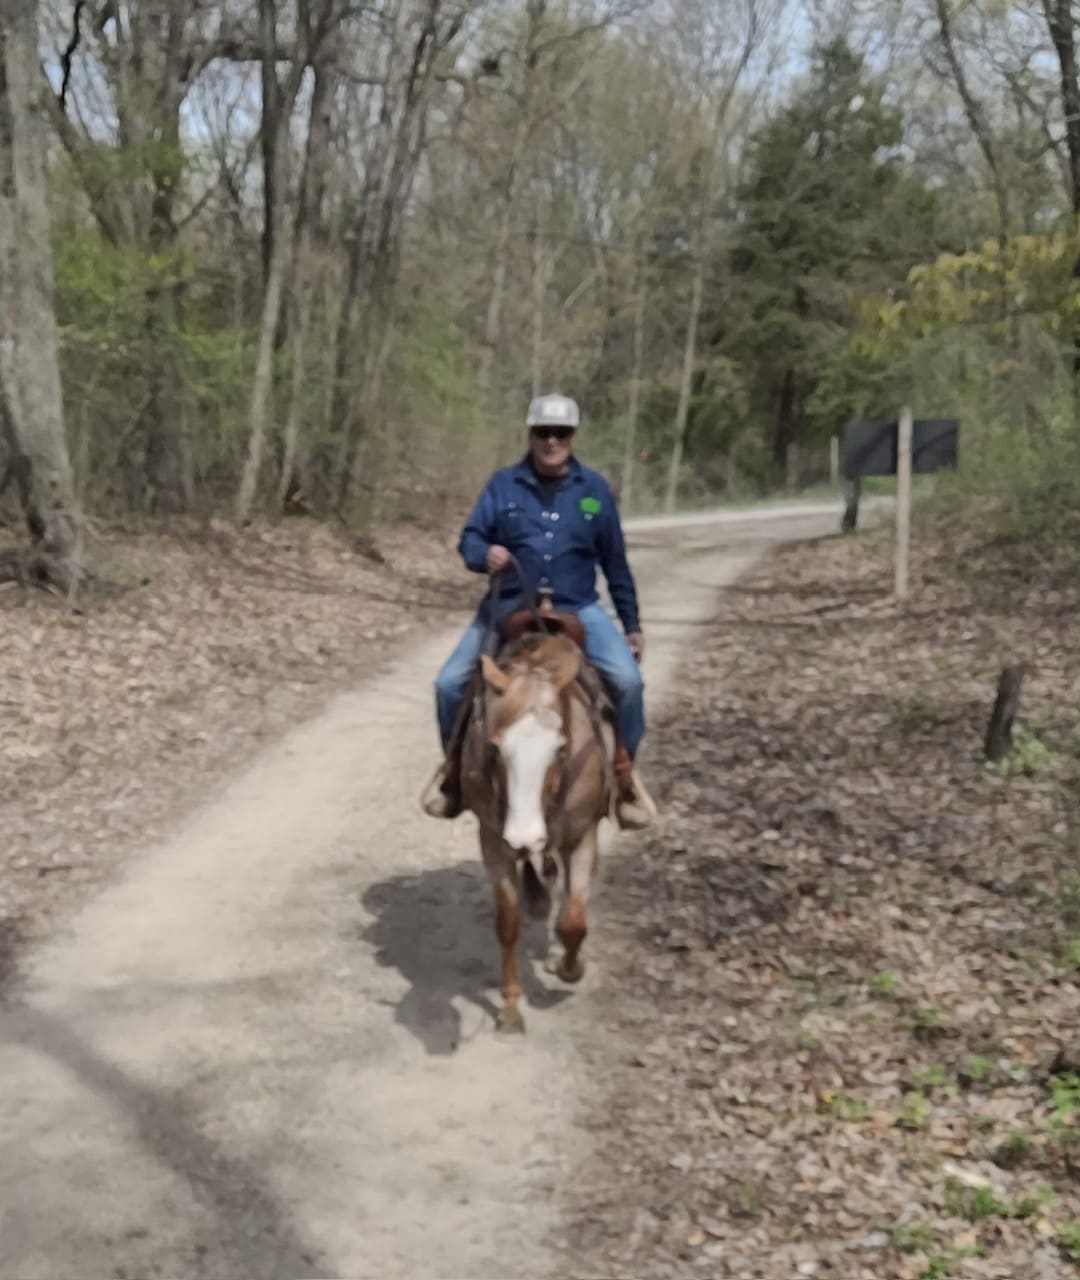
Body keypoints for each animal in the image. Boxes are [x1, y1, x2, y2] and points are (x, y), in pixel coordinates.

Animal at [459, 629, 614, 1034]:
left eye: (560, 749)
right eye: (494, 748)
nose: (524, 836)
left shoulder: (582, 835)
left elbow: (574, 922)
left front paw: (570, 969)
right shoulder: (493, 840)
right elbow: (508, 923)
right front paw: (511, 1009)